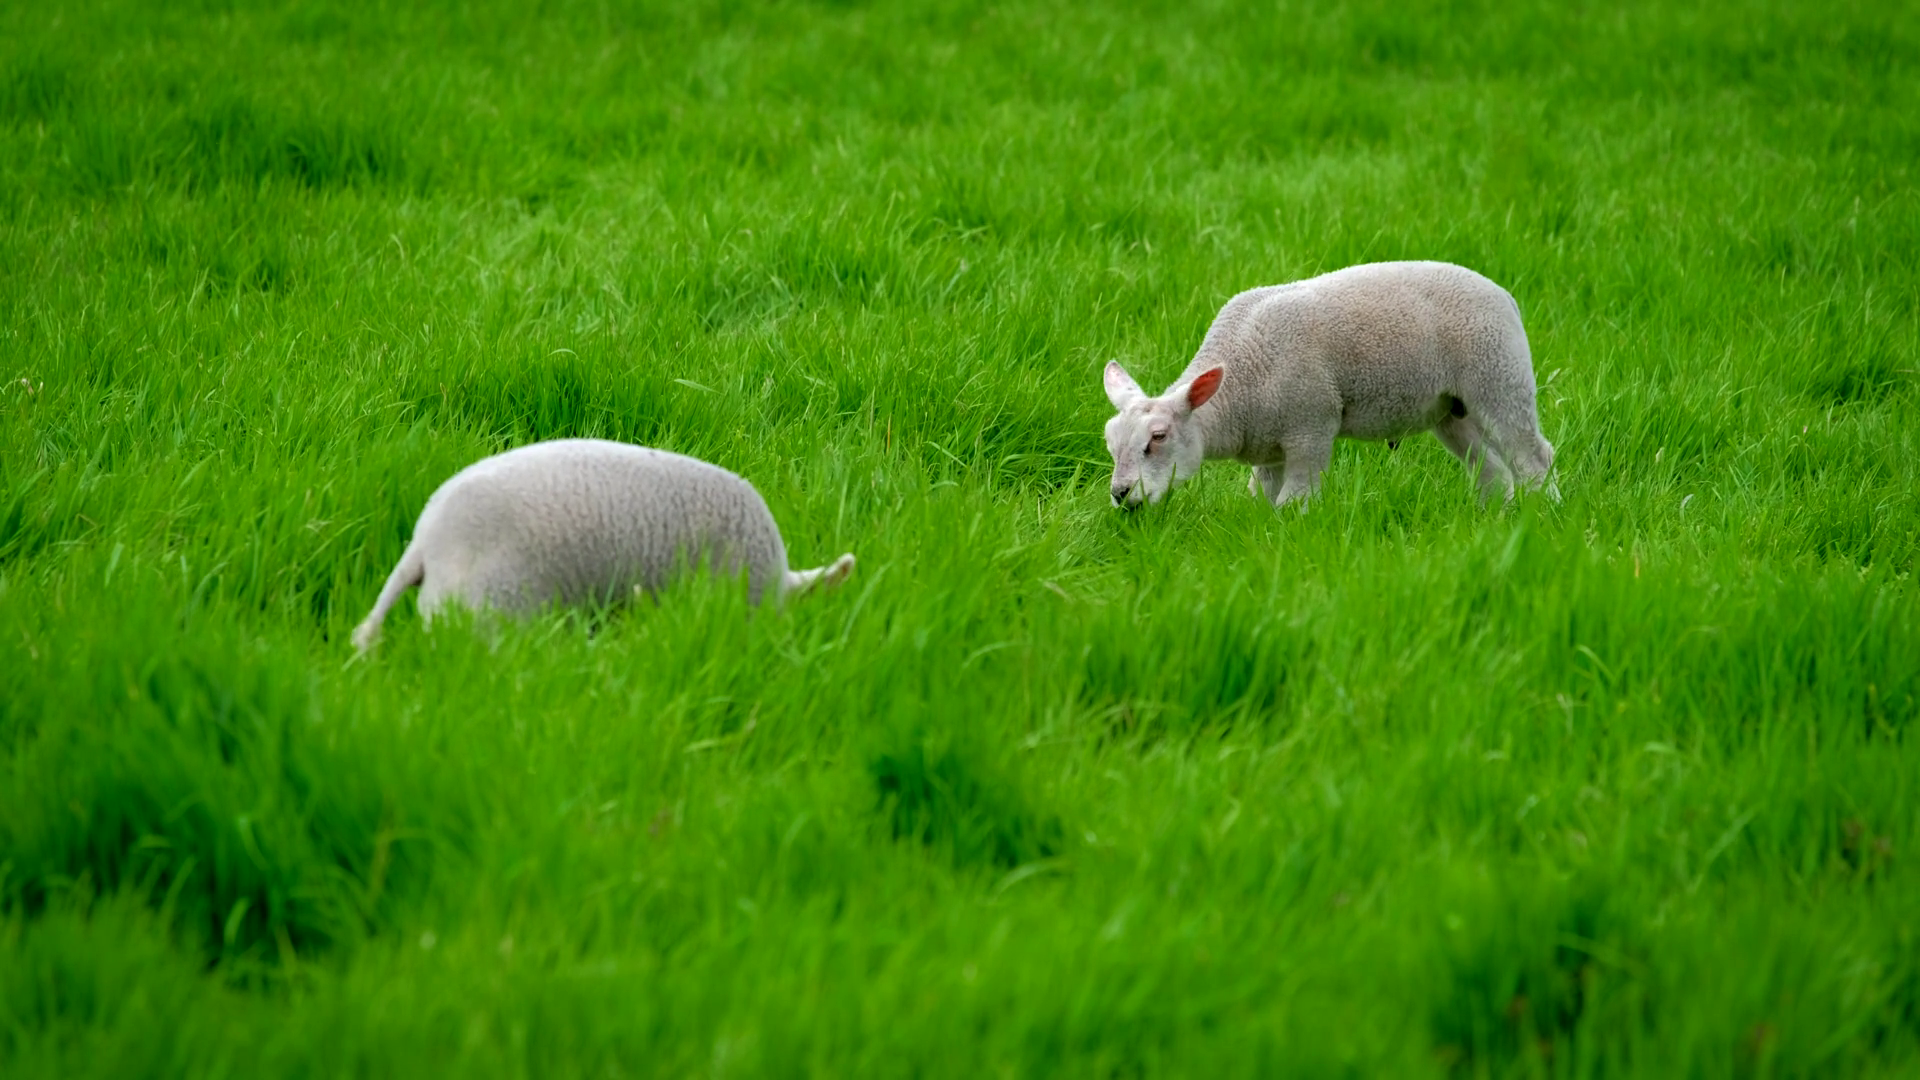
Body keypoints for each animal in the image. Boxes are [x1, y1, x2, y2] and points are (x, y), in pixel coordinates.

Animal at [1102, 259, 1559, 512]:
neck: (1240, 383)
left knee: (1534, 457)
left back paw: (1542, 516)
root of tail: (1504, 295)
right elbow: (1261, 498)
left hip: (1499, 376)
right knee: (1491, 470)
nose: (1121, 494)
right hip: (1451, 408)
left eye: (1158, 437)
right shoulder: (1268, 447)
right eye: (1111, 442)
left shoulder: (1311, 427)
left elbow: (1295, 501)